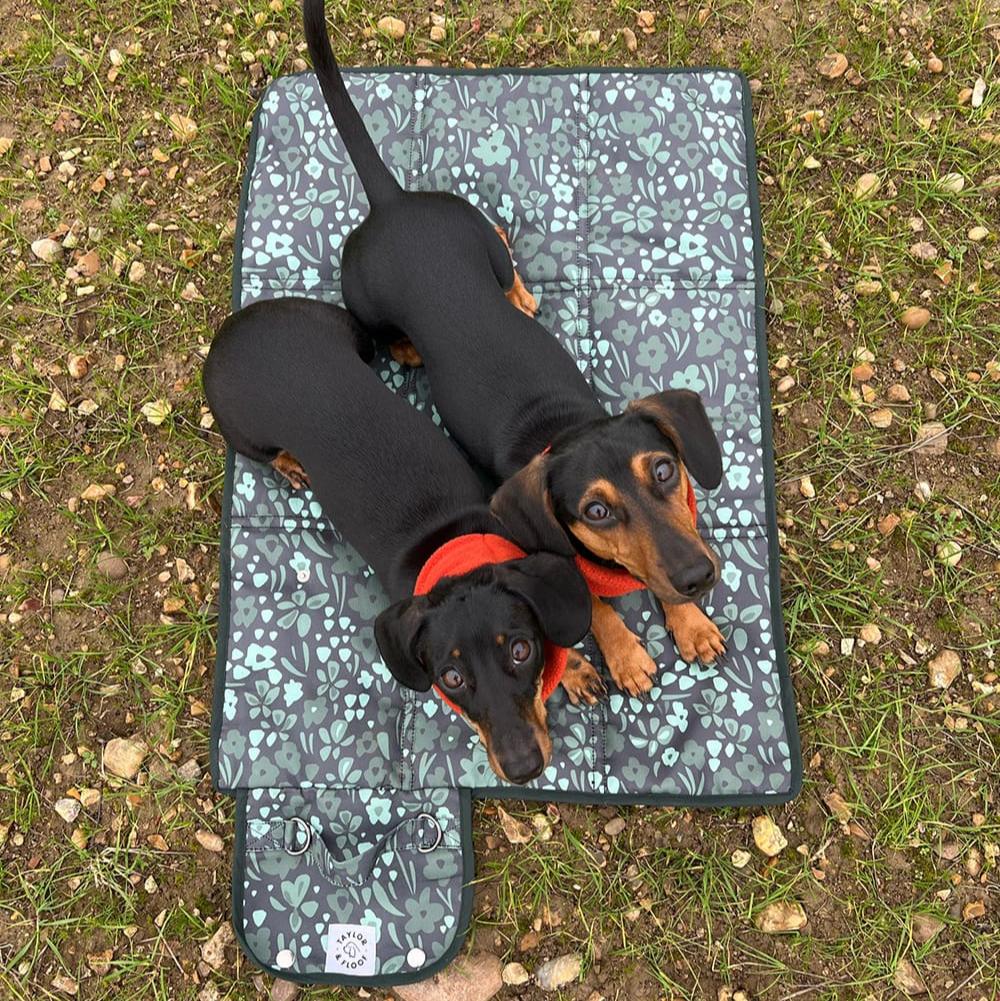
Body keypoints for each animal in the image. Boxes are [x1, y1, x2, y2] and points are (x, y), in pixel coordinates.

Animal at [199, 300, 596, 784]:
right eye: (450, 678)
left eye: (522, 650)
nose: (523, 768)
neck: (449, 540)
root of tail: (232, 331)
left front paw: (575, 669)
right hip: (244, 433)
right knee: (268, 453)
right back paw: (290, 465)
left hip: (354, 337)